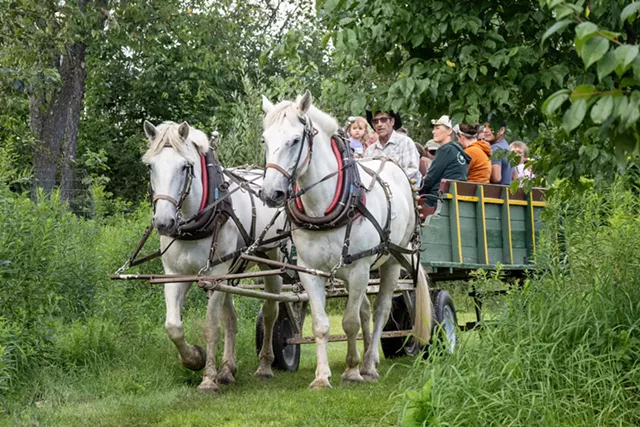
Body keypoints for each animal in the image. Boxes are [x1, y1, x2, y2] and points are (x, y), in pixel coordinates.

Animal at [142, 120, 286, 392]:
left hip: (271, 257)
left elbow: (211, 327)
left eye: (185, 166)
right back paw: (228, 370)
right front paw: (194, 359)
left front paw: (208, 379)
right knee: (231, 318)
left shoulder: (215, 275)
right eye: (151, 166)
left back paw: (264, 366)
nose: (164, 222)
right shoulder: (174, 275)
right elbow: (173, 326)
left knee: (270, 310)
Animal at [259, 91, 432, 389]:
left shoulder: (360, 268)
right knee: (365, 309)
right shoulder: (309, 271)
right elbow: (321, 324)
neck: (324, 206)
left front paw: (352, 371)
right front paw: (322, 376)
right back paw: (369, 359)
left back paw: (369, 365)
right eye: (265, 140)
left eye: (295, 140)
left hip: (390, 261)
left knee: (380, 310)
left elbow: (350, 322)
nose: (271, 193)